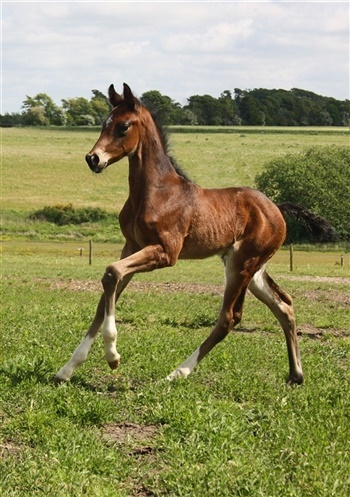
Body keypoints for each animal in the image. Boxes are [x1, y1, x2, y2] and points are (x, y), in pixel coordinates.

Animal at [55, 82, 334, 384]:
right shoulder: (131, 247)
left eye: (123, 126)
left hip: (242, 265)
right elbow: (107, 290)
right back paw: (296, 374)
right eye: (104, 123)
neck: (156, 191)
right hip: (251, 268)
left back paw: (177, 372)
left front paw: (112, 356)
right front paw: (67, 369)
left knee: (230, 317)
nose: (93, 158)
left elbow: (111, 272)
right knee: (283, 305)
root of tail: (277, 209)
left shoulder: (166, 252)